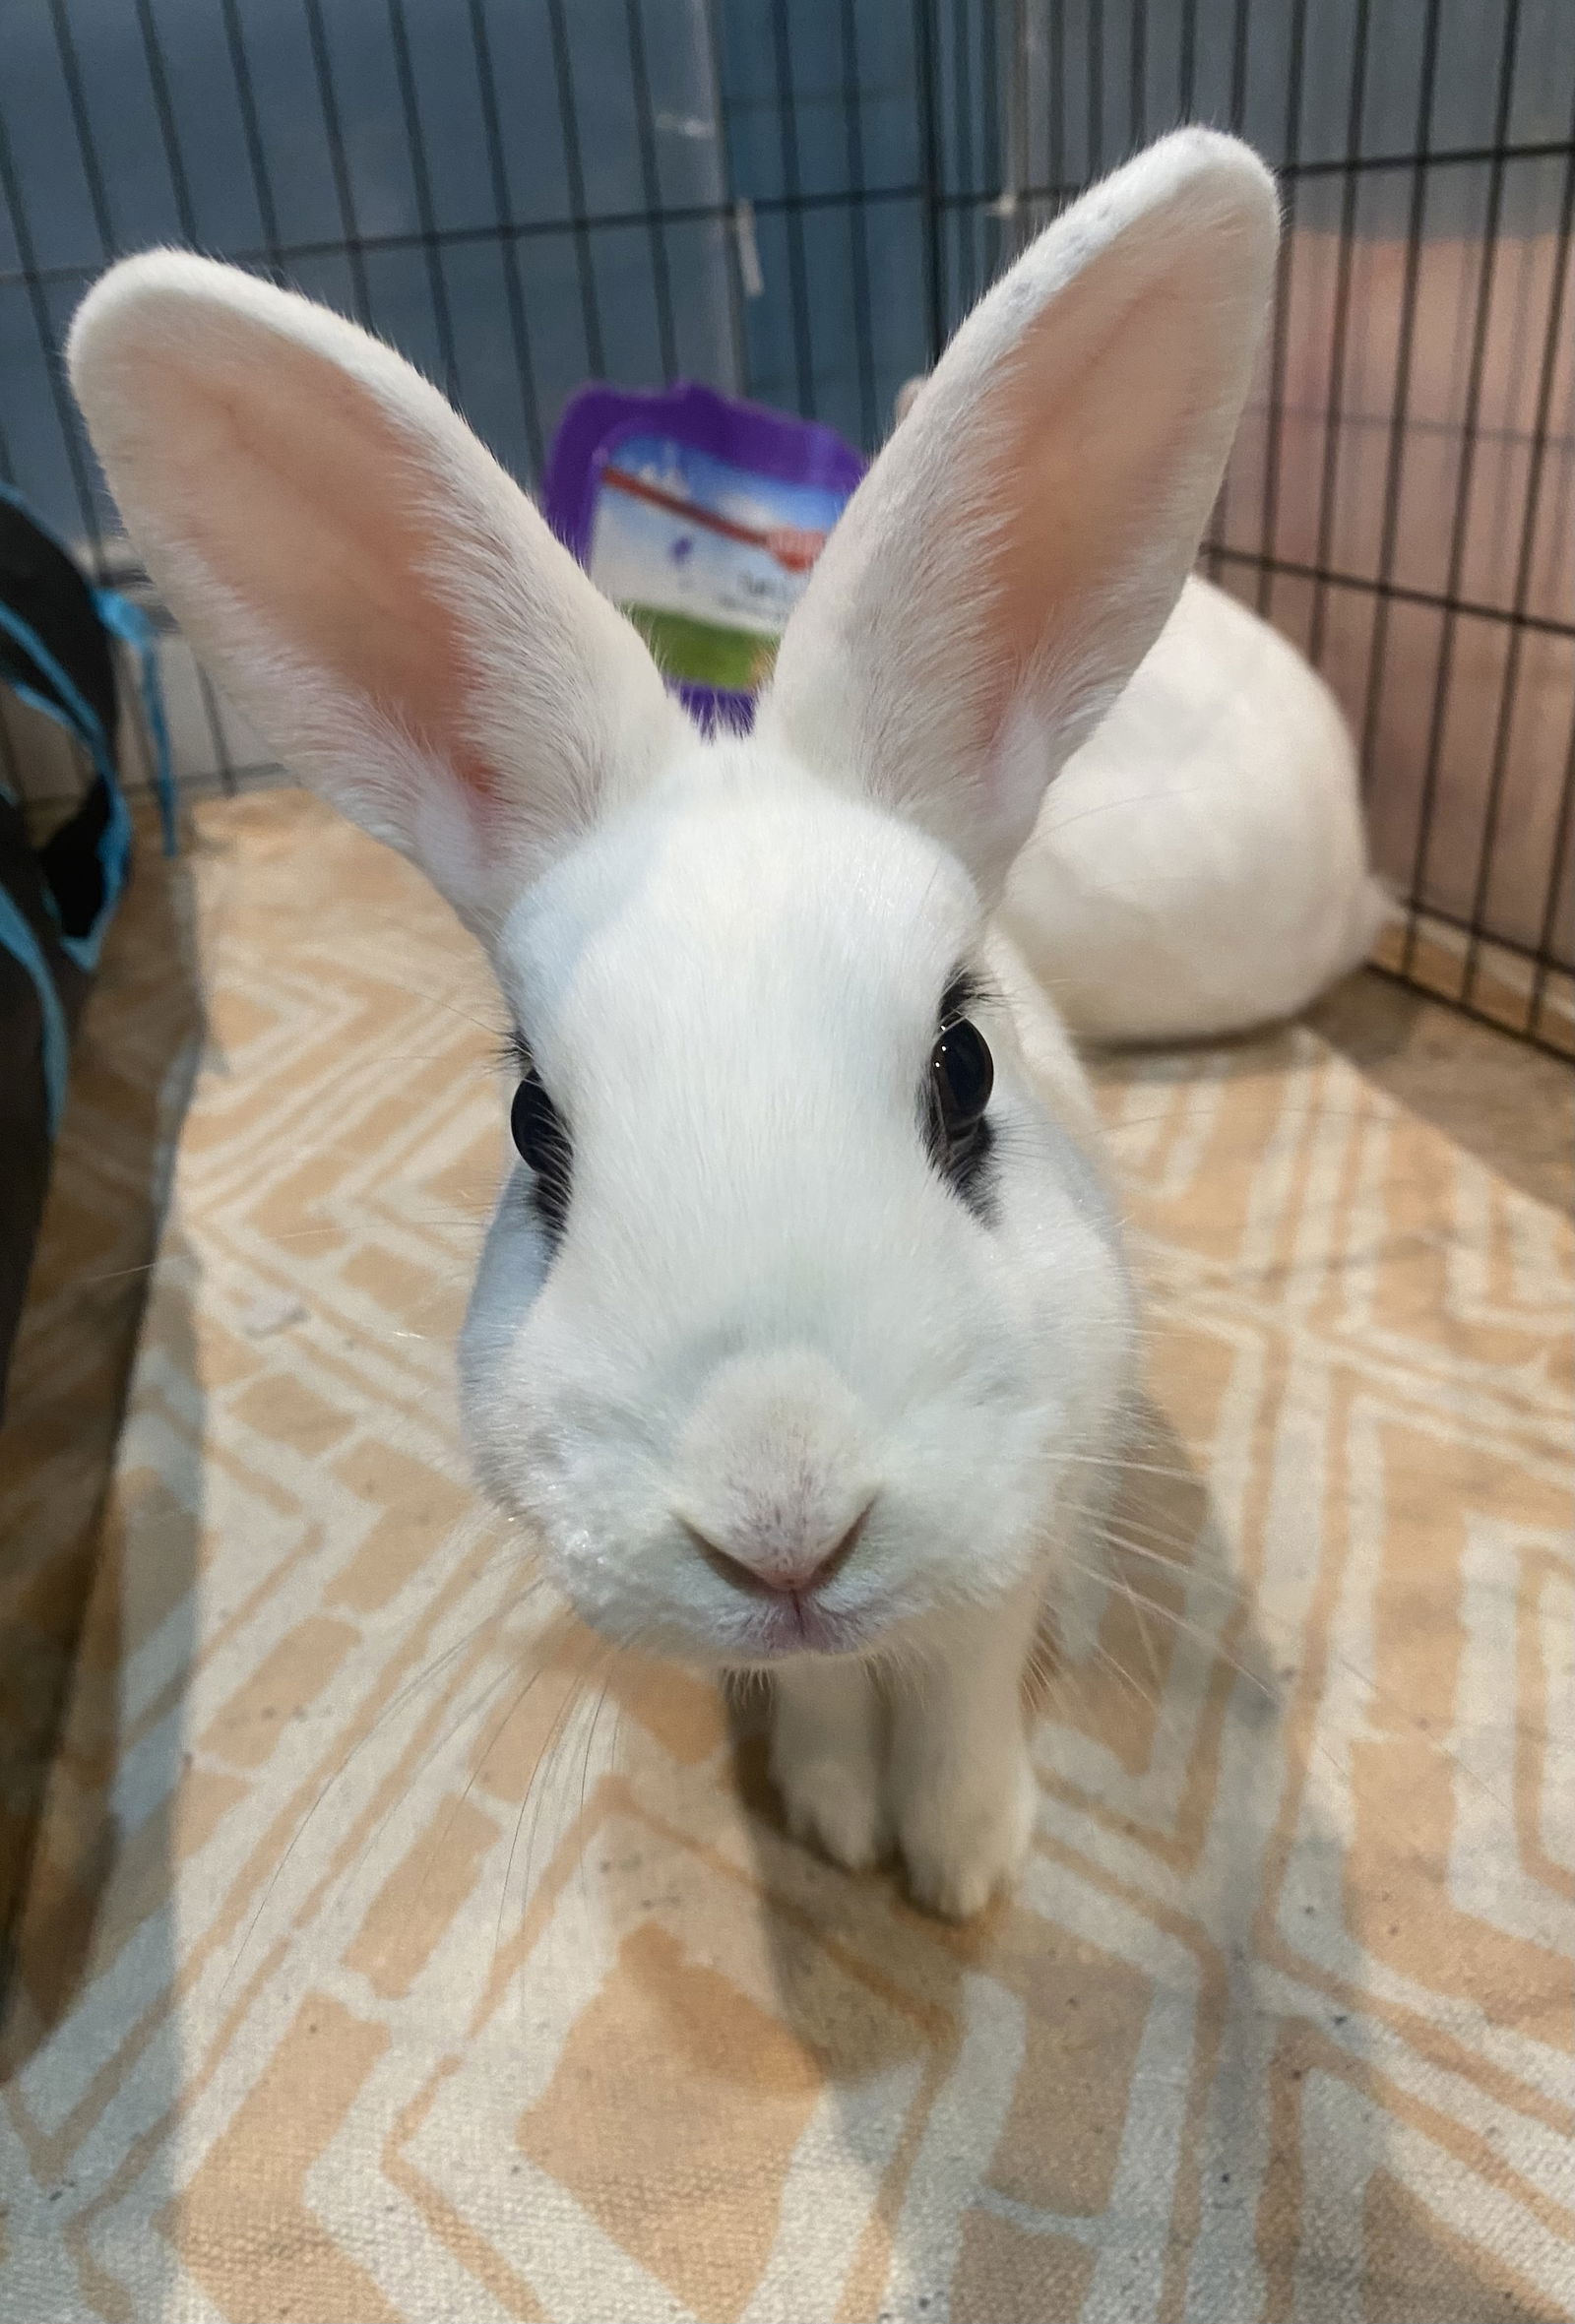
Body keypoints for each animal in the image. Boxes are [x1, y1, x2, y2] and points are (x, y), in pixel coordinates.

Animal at [70, 127, 1282, 1915]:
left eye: (965, 1069)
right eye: (532, 1130)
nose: (783, 1525)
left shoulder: (1010, 1520)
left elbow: (965, 1681)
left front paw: (963, 1862)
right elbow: (832, 1707)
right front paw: (839, 1820)